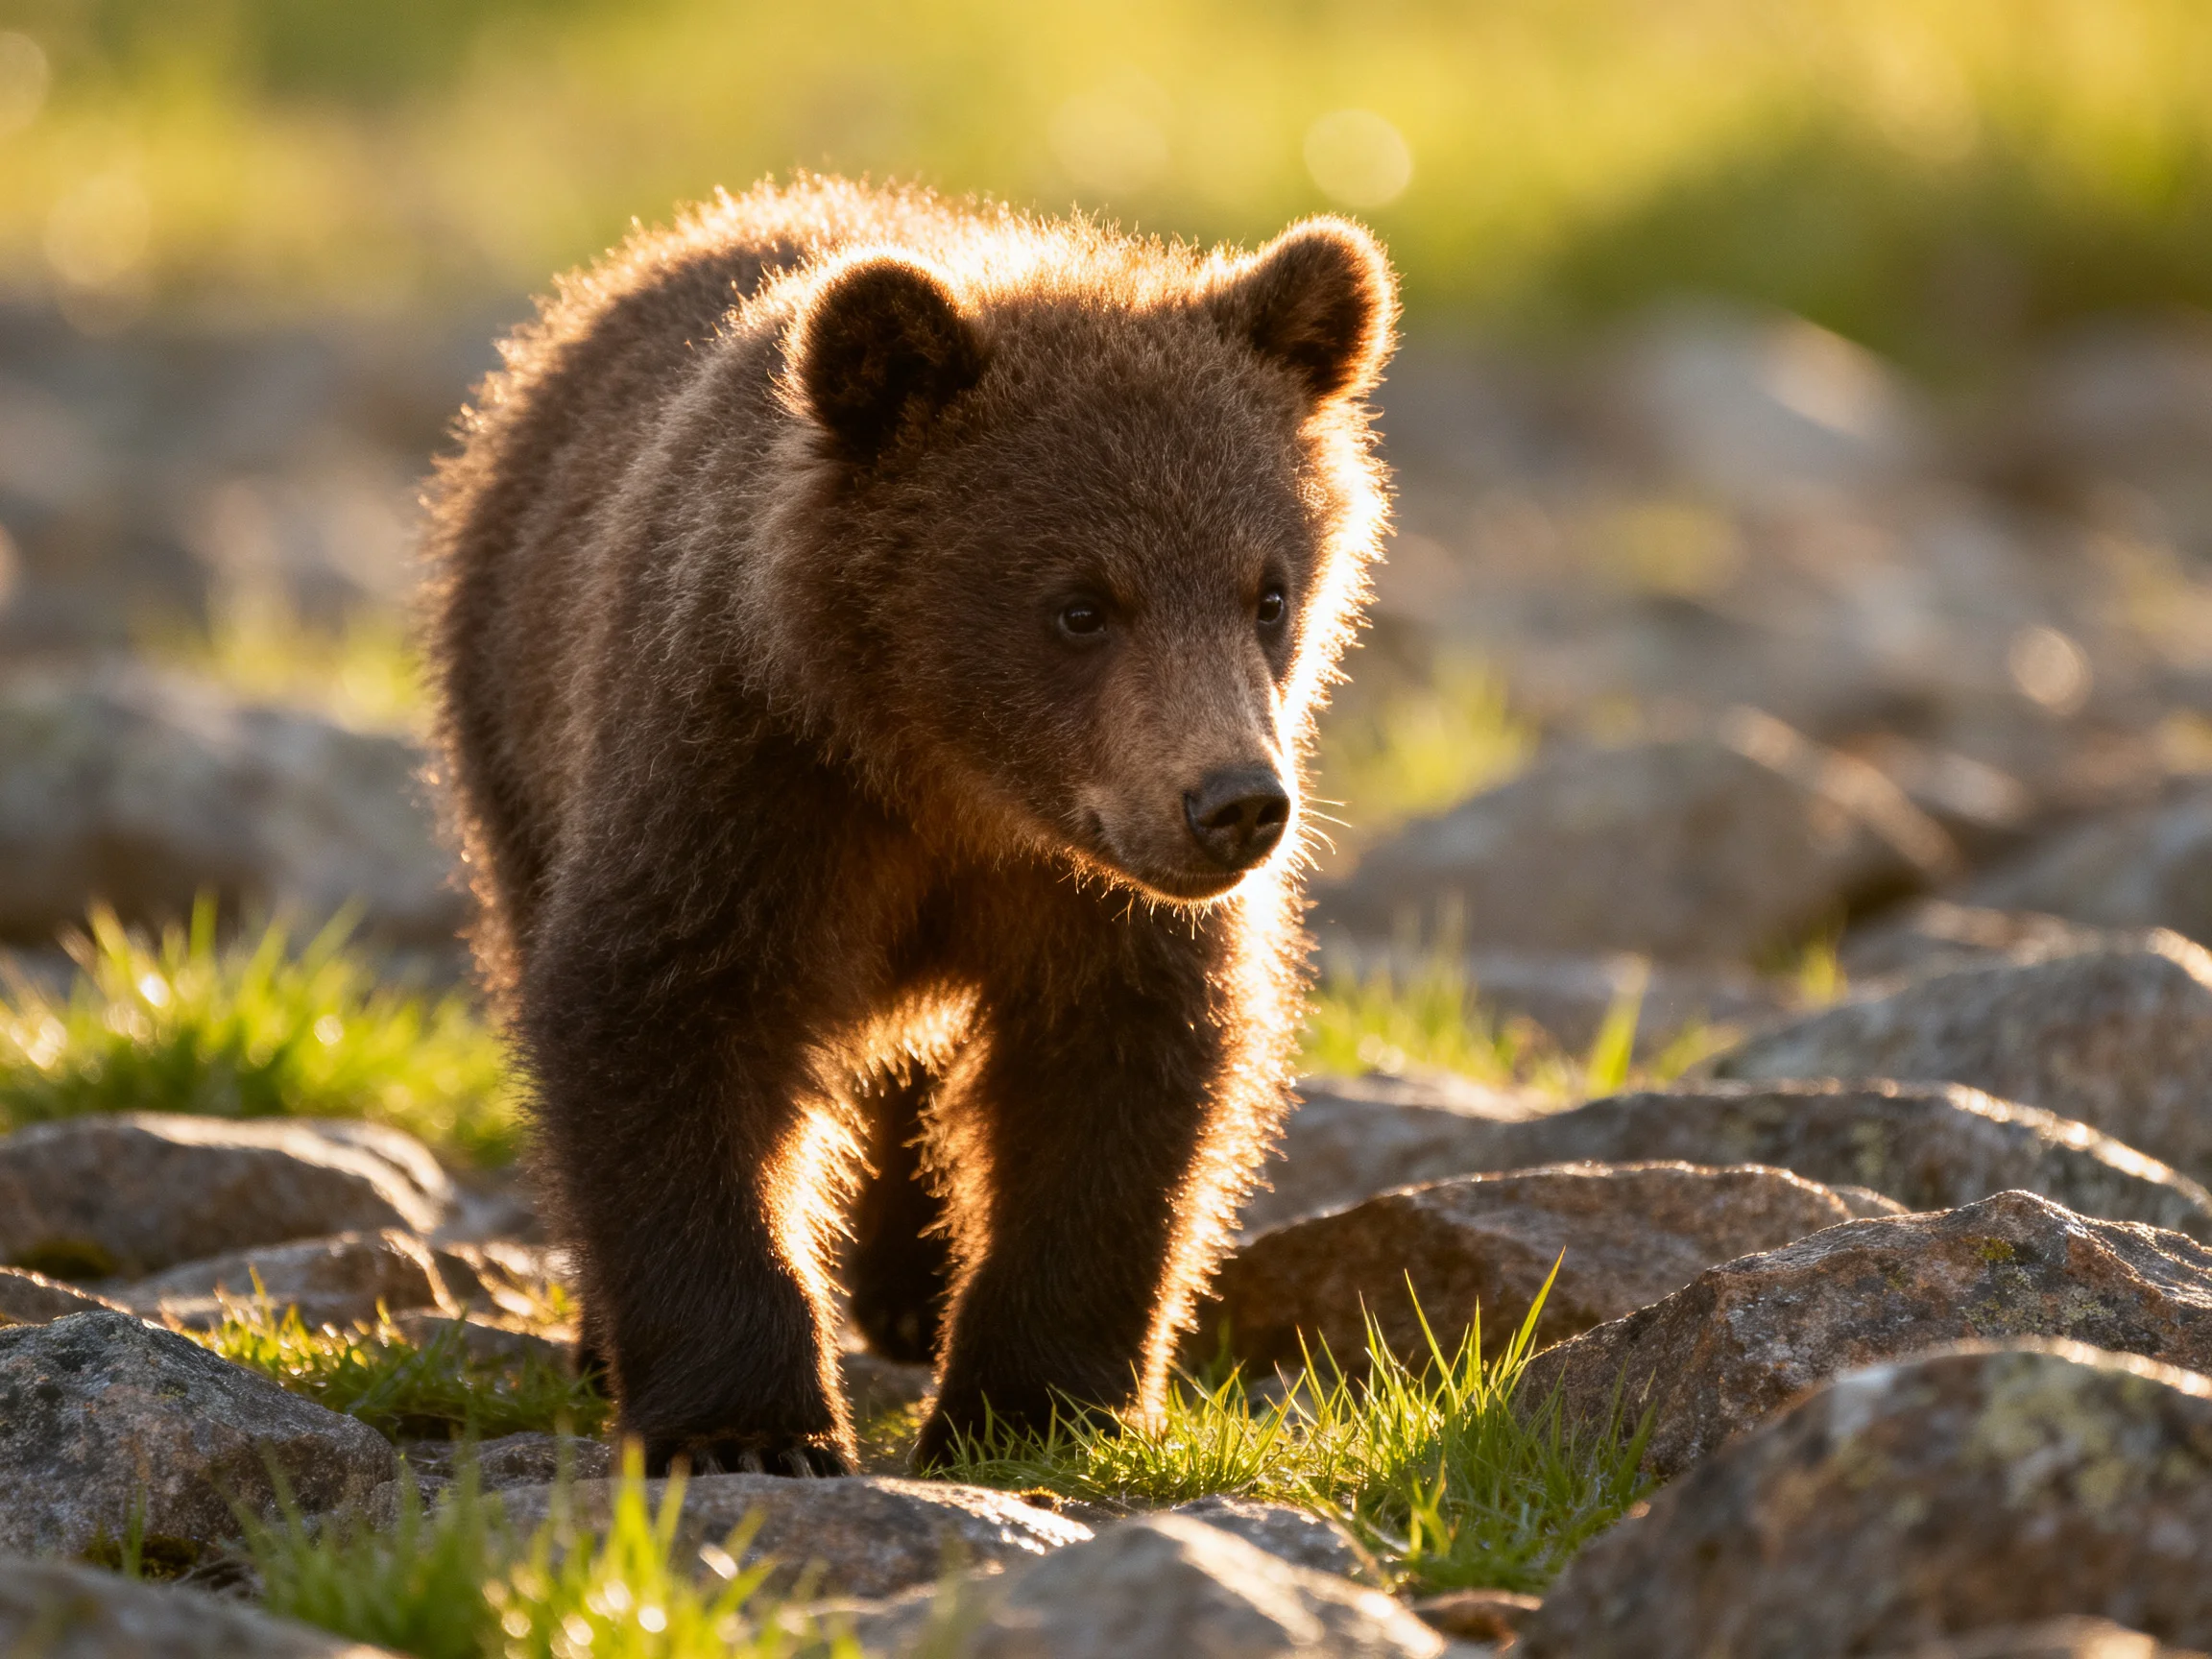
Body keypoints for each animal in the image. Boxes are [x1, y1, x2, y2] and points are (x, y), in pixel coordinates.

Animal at [425, 177, 1396, 1475]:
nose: (1234, 804)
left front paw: (1029, 1404)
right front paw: (751, 1427)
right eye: (1079, 605)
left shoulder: (1088, 894)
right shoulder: (743, 786)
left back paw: (914, 1286)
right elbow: (661, 1026)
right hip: (513, 728)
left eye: (1269, 591)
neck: (950, 783)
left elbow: (1120, 1078)